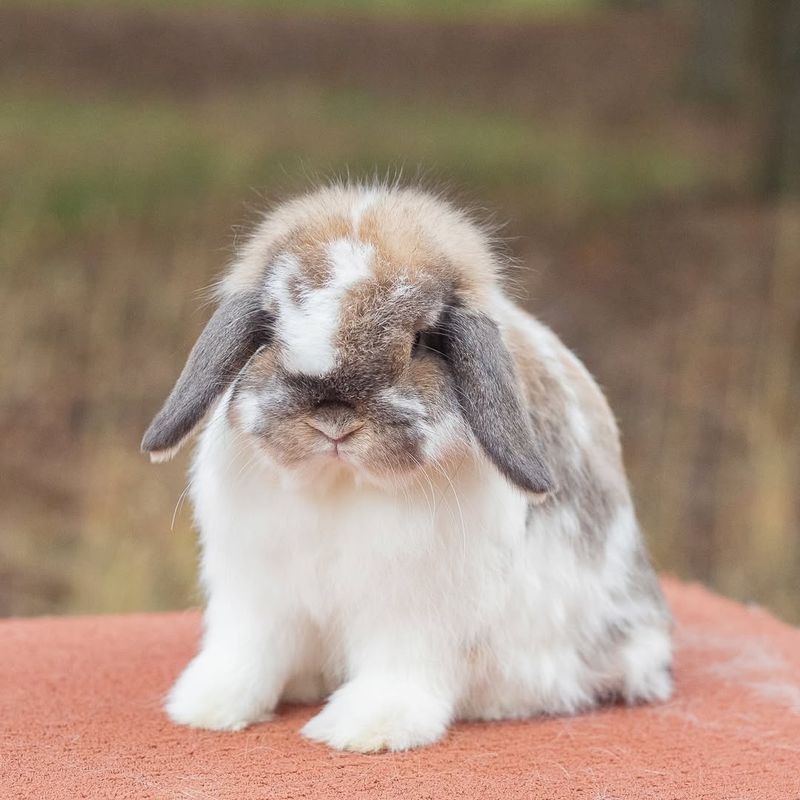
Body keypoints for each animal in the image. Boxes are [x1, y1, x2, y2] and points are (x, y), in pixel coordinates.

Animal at [142, 184, 668, 752]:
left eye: (422, 342)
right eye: (272, 329)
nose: (334, 421)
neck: (341, 484)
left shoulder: (414, 612)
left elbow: (397, 670)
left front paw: (365, 729)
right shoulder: (257, 596)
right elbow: (248, 655)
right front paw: (209, 708)